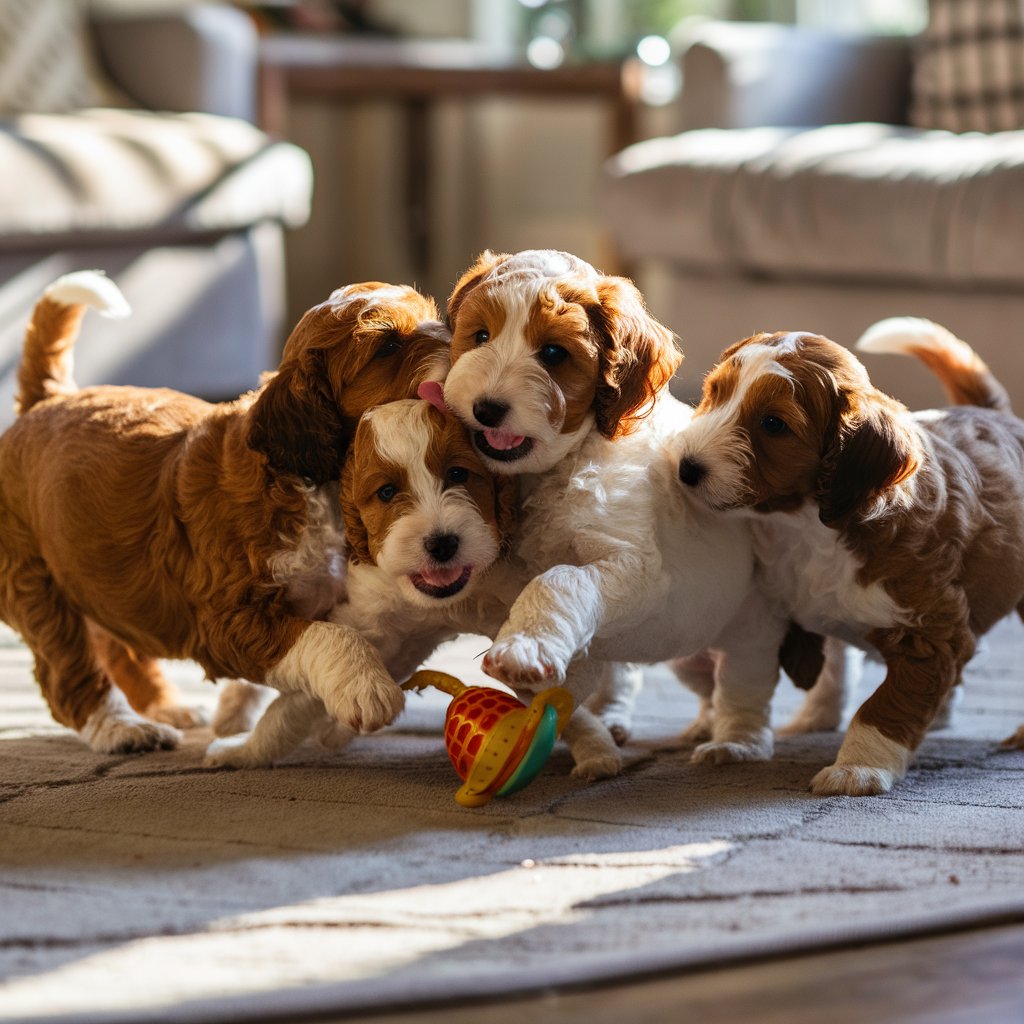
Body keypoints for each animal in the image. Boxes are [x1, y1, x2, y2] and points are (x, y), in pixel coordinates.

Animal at [0, 272, 448, 753]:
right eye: (387, 346)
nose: (460, 340)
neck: (308, 484)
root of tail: (44, 401)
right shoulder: (226, 619)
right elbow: (326, 637)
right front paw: (366, 687)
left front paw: (238, 713)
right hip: (34, 584)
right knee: (66, 672)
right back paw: (123, 729)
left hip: (94, 574)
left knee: (120, 647)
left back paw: (166, 708)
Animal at [204, 393, 520, 770]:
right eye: (386, 492)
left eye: (458, 473)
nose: (442, 543)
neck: (443, 604)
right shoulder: (373, 619)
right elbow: (298, 699)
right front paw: (243, 749)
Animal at [442, 249, 790, 774]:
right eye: (480, 336)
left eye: (553, 354)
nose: (486, 409)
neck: (565, 462)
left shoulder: (635, 567)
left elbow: (561, 578)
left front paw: (523, 650)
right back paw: (617, 718)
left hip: (745, 627)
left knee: (740, 684)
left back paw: (733, 742)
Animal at [671, 323, 1024, 794]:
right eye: (714, 393)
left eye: (773, 424)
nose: (686, 468)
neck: (807, 525)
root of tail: (994, 415)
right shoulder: (777, 609)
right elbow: (757, 678)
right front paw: (737, 742)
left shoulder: (929, 631)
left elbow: (886, 704)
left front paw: (857, 767)